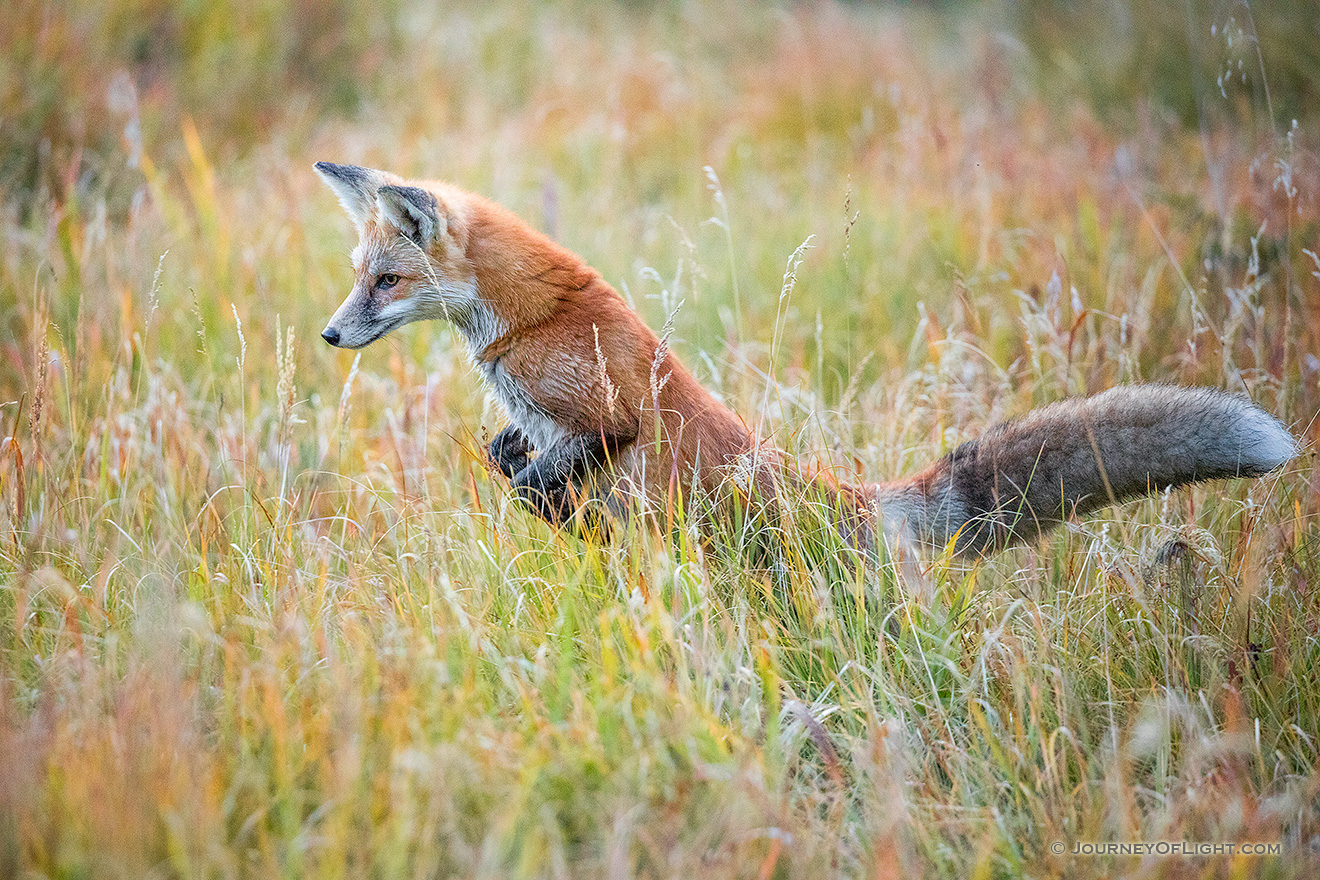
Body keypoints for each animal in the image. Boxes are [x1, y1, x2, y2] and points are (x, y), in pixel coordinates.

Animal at [314, 164, 1293, 556]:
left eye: (387, 281)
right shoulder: (543, 430)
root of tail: (860, 504)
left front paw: (551, 506)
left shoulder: (606, 414)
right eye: (358, 275)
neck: (521, 323)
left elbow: (547, 476)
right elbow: (516, 463)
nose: (329, 336)